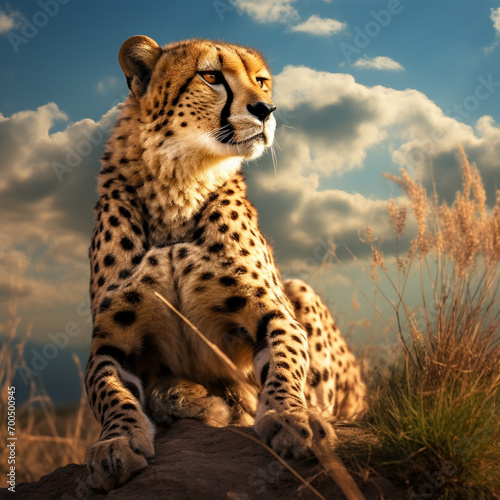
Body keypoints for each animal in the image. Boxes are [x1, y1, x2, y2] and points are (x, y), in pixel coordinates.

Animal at [85, 36, 368, 492]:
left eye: (262, 81)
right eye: (211, 76)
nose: (266, 110)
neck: (179, 185)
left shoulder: (273, 311)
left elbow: (286, 361)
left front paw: (292, 417)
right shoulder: (111, 342)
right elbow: (108, 391)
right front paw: (117, 443)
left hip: (302, 291)